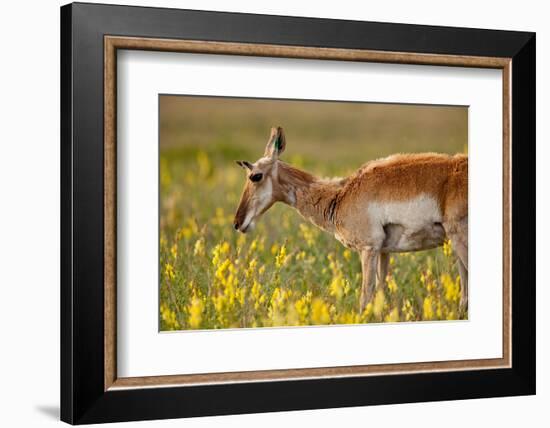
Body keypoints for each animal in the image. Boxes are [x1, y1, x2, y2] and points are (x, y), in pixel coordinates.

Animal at [234, 125, 470, 312]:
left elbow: (365, 298)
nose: (237, 223)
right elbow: (381, 296)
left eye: (255, 176)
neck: (341, 194)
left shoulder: (368, 249)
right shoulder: (383, 252)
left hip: (460, 241)